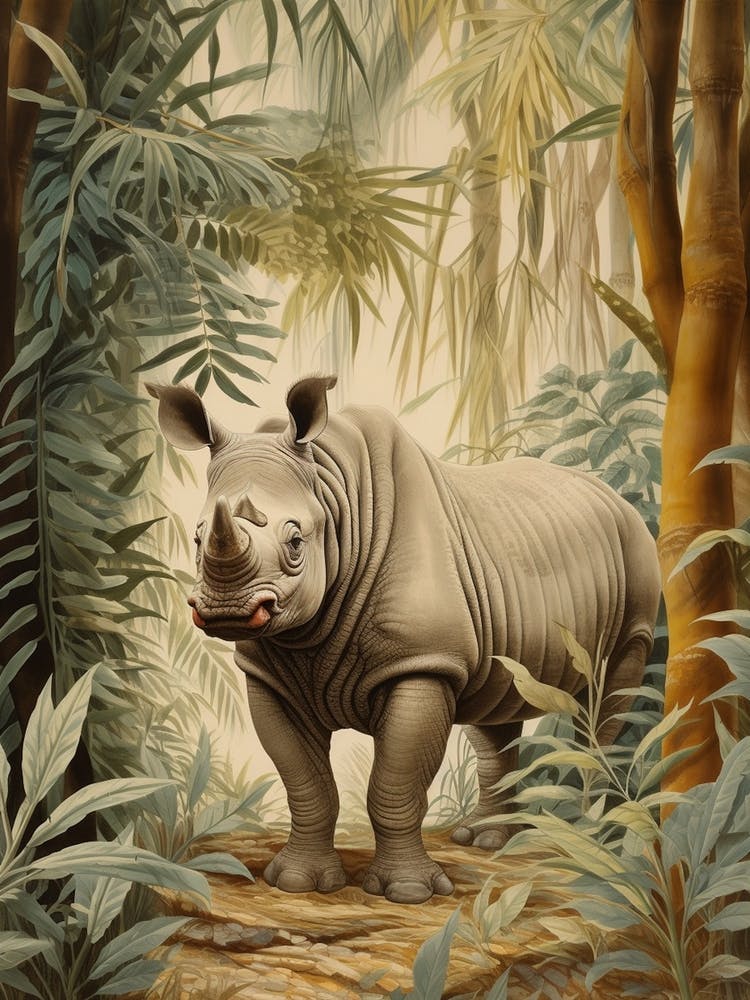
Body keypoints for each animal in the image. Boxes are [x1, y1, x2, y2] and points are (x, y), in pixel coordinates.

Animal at [148, 375, 660, 904]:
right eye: (196, 538)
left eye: (295, 542)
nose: (226, 610)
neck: (334, 496)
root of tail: (616, 497)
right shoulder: (269, 675)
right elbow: (306, 784)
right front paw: (296, 883)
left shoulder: (422, 661)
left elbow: (395, 784)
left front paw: (408, 892)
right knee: (497, 704)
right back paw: (486, 842)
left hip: (636, 558)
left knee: (610, 695)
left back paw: (587, 842)